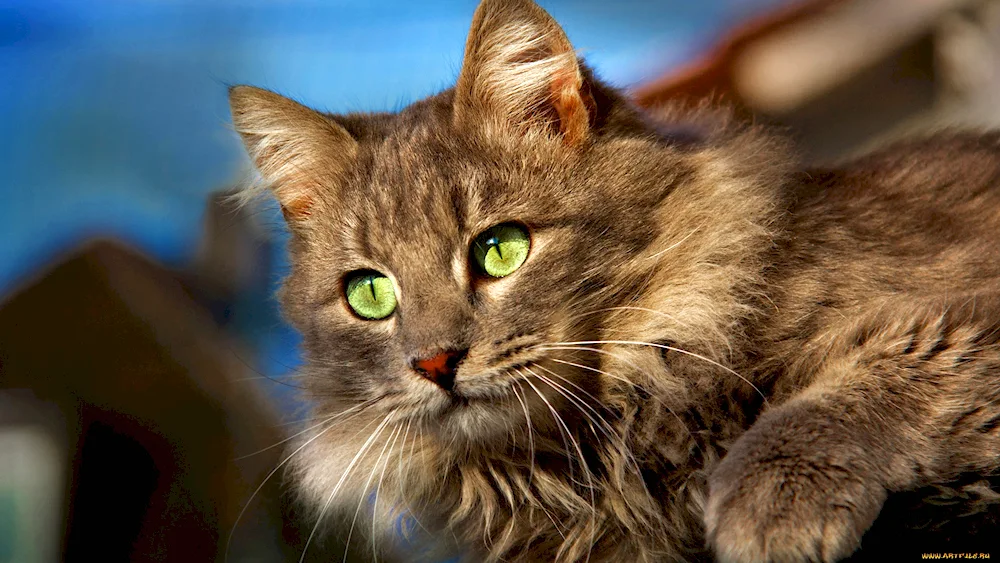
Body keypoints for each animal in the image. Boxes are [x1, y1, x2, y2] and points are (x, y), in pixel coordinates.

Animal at [227, 1, 1000, 560]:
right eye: (369, 294)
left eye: (500, 249)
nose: (435, 362)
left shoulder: (957, 322)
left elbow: (841, 393)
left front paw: (764, 509)